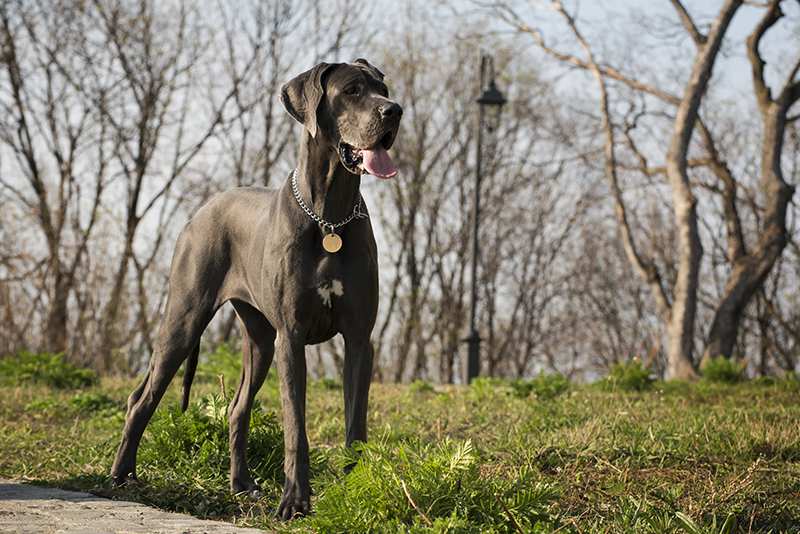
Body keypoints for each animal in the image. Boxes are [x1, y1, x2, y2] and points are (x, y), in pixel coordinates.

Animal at [109, 59, 404, 524]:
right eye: (353, 90)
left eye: (383, 89)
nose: (394, 111)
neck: (330, 216)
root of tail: (201, 210)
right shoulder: (292, 339)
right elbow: (295, 426)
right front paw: (296, 502)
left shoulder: (360, 340)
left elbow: (355, 424)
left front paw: (355, 489)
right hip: (185, 320)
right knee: (141, 397)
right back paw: (122, 475)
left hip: (260, 341)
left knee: (236, 409)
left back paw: (242, 484)